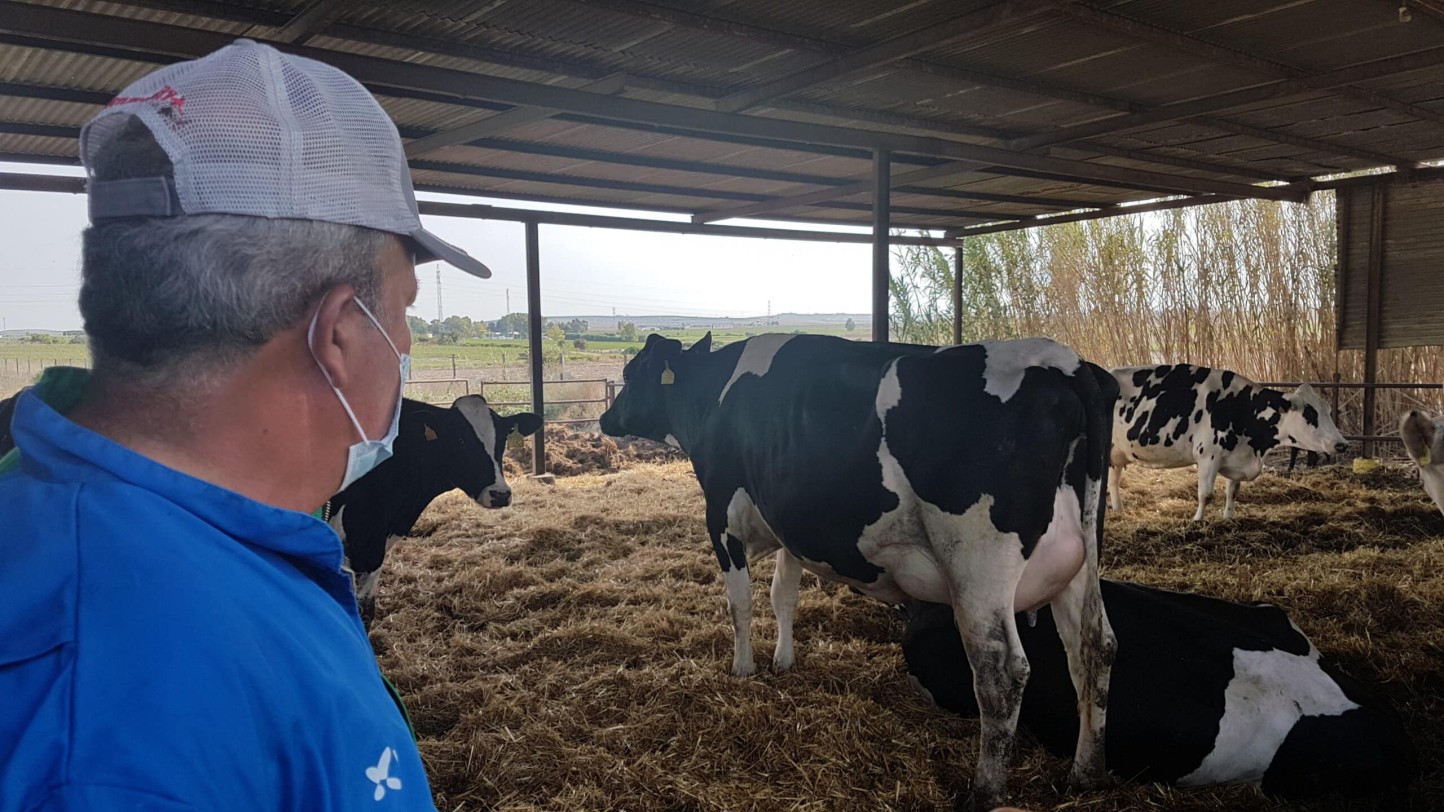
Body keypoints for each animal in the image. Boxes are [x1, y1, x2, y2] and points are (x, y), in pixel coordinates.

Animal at [597, 329, 1114, 803]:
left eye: (631, 373)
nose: (604, 418)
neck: (713, 394)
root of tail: (1066, 363)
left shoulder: (721, 517)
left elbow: (740, 604)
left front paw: (743, 668)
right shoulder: (792, 525)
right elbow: (783, 596)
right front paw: (784, 661)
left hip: (977, 566)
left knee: (1000, 671)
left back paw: (985, 792)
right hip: (1078, 563)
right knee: (1095, 648)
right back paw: (1085, 773)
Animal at [1103, 361, 1351, 514]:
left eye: (1328, 410)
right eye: (1310, 414)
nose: (1342, 445)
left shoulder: (1237, 456)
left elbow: (1233, 491)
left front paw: (1229, 517)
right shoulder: (1207, 456)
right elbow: (1206, 494)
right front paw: (1198, 521)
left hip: (1115, 454)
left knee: (1113, 482)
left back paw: (1119, 510)